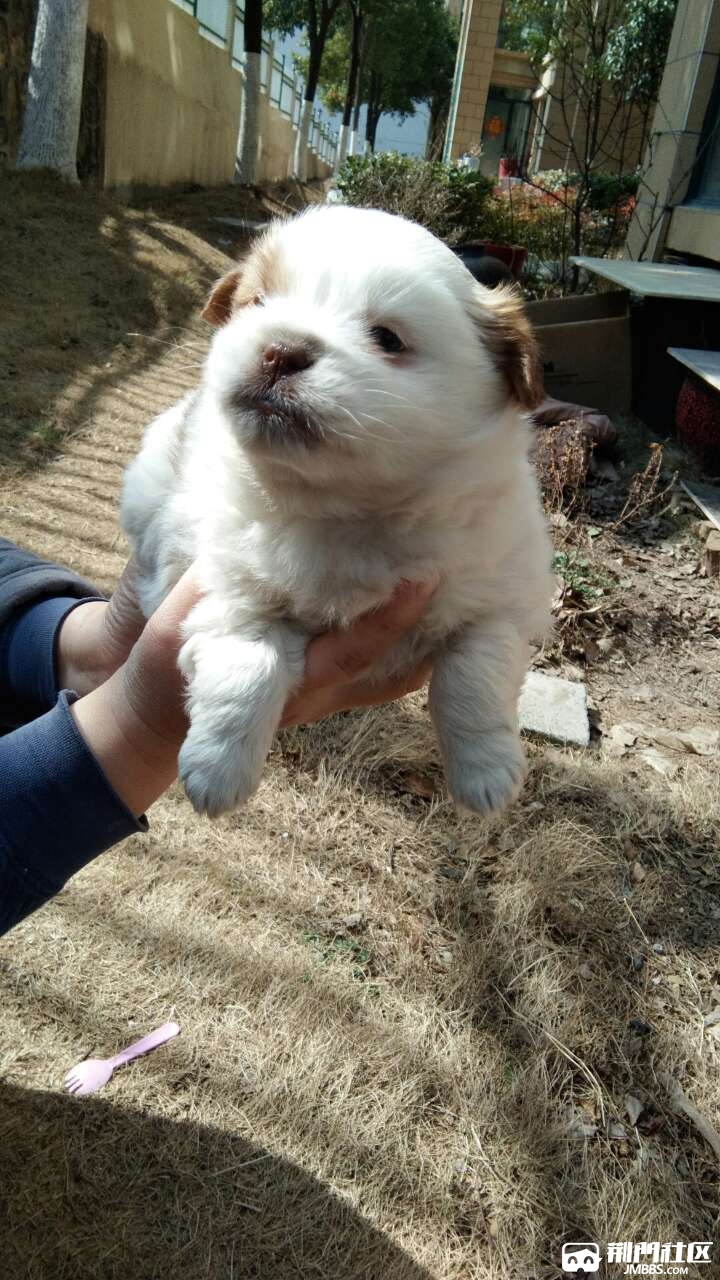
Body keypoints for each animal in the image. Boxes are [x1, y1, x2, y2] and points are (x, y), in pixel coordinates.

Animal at [120, 204, 550, 814]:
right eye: (258, 303)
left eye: (387, 338)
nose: (279, 349)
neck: (346, 510)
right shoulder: (229, 587)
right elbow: (248, 665)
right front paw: (217, 769)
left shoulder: (499, 595)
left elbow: (474, 674)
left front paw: (485, 773)